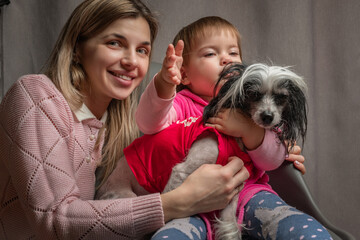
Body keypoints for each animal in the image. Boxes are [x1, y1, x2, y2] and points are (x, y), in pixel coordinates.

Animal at [95, 62, 306, 239]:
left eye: (281, 97)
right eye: (253, 94)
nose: (268, 116)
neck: (234, 140)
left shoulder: (233, 191)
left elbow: (229, 226)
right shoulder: (182, 172)